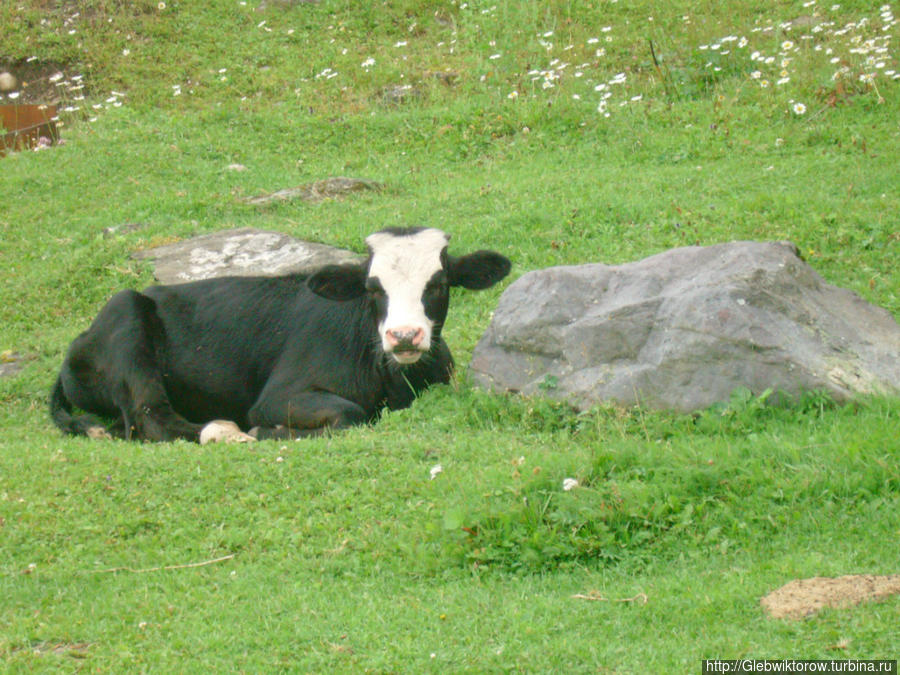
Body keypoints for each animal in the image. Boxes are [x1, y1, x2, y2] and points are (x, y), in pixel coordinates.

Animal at [51, 230, 512, 446]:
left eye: (439, 284)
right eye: (372, 288)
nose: (404, 336)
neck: (395, 383)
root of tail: (78, 341)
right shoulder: (276, 397)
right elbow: (349, 414)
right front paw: (264, 432)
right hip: (126, 317)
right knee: (150, 419)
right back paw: (226, 431)